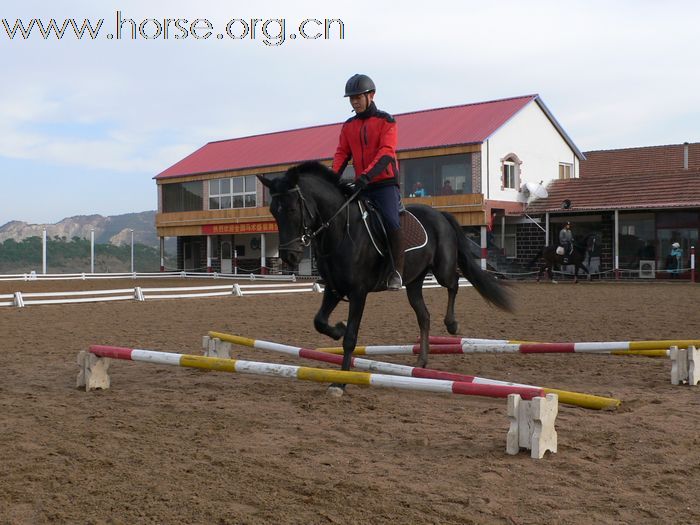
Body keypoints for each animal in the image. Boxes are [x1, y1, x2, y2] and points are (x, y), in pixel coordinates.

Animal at [260, 162, 512, 396]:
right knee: (424, 316)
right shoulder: (333, 288)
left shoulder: (358, 292)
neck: (341, 230)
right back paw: (421, 361)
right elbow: (319, 321)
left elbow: (350, 338)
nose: (288, 256)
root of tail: (440, 214)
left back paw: (452, 324)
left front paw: (340, 382)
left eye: (292, 209)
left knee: (454, 283)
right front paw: (338, 329)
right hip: (414, 282)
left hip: (442, 269)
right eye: (273, 211)